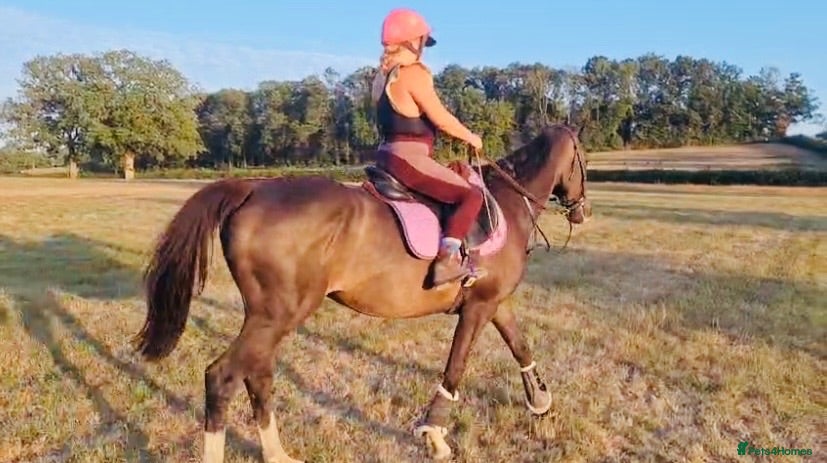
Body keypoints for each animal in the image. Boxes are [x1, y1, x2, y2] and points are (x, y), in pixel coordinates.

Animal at [134, 123, 589, 462]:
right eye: (583, 161)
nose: (581, 209)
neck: (508, 203)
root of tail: (253, 188)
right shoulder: (477, 308)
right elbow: (456, 368)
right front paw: (434, 435)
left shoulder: (493, 301)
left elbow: (520, 345)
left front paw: (541, 400)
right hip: (279, 314)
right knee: (223, 376)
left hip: (269, 317)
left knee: (257, 374)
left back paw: (278, 453)